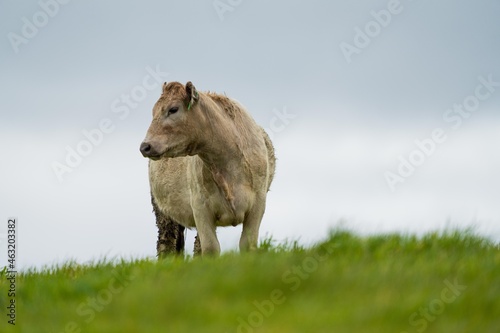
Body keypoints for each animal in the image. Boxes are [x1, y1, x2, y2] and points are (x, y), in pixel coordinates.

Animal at [139, 81, 276, 254]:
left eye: (173, 109)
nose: (145, 146)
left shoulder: (258, 204)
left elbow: (247, 244)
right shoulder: (200, 208)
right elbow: (211, 248)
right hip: (164, 213)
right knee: (167, 245)